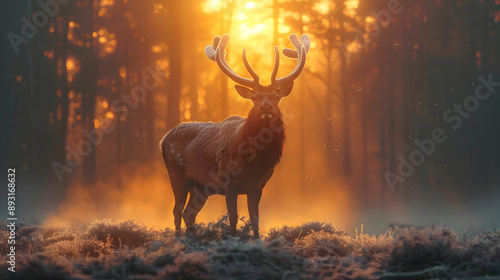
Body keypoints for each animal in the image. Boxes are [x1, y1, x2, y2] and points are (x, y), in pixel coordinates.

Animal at [160, 32, 308, 238]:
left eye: (276, 97)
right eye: (254, 97)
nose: (266, 106)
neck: (254, 162)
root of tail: (163, 140)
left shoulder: (257, 187)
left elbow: (255, 219)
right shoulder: (229, 183)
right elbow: (233, 218)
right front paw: (233, 238)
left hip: (200, 187)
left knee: (189, 213)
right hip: (177, 175)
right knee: (177, 211)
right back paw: (178, 239)